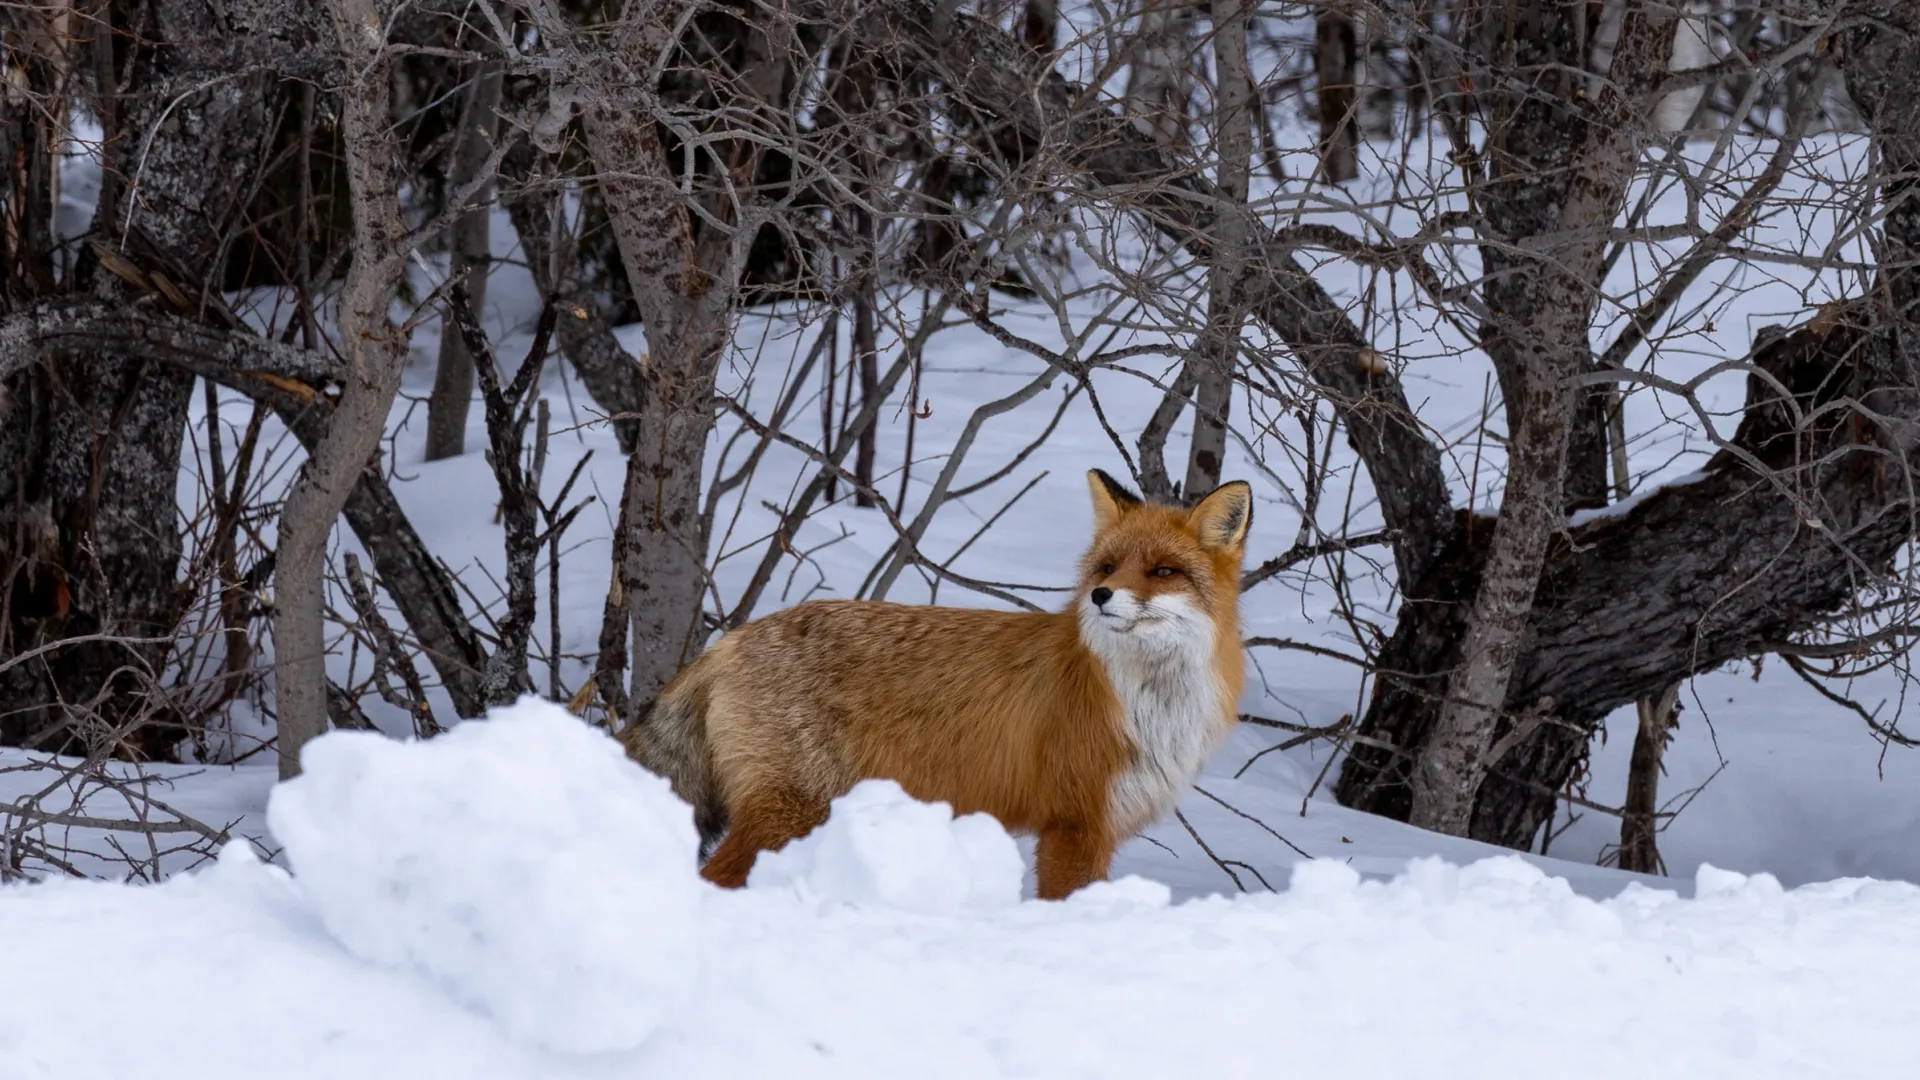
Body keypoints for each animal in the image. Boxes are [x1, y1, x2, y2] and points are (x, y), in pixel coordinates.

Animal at [622, 466, 1251, 895]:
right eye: (1107, 568)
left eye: (1163, 571)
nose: (1099, 596)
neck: (1143, 700)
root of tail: (731, 638)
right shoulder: (1073, 823)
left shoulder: (1098, 823)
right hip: (791, 810)